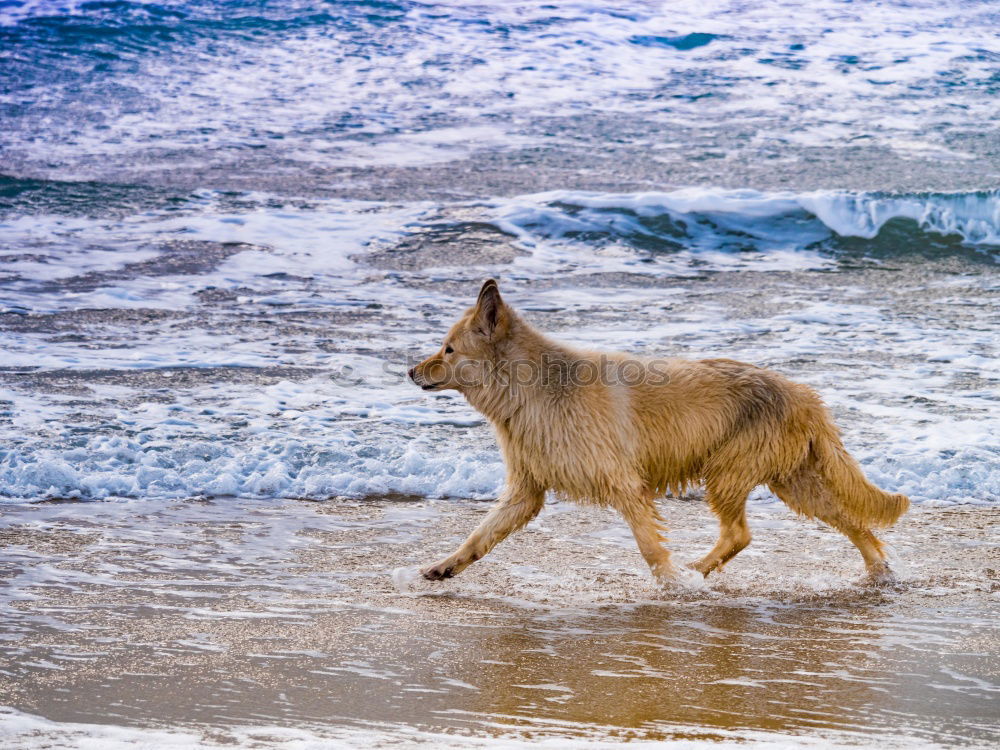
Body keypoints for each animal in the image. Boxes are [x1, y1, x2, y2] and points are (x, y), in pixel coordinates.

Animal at [406, 280, 908, 584]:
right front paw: (443, 567)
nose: (409, 371)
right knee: (852, 521)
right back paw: (878, 571)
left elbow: (649, 547)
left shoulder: (624, 484)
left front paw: (671, 582)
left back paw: (697, 571)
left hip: (728, 473)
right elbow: (478, 536)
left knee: (740, 534)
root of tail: (806, 396)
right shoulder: (524, 491)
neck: (533, 388)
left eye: (448, 349)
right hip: (794, 482)